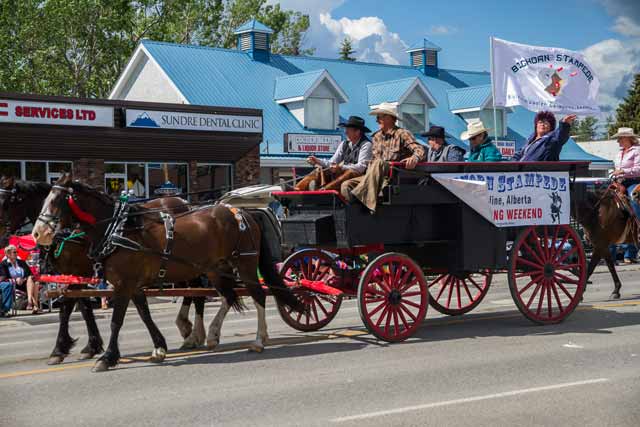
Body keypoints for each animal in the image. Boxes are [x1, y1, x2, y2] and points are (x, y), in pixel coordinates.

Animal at [0, 176, 205, 362]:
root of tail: (185, 203)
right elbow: (84, 308)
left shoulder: (78, 271)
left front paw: (61, 349)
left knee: (196, 291)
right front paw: (91, 346)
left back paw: (193, 333)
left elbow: (67, 308)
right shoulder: (78, 276)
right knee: (192, 290)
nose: (2, 238)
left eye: (7, 203)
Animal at [33, 173, 304, 372]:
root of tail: (244, 212)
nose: (37, 233)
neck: (117, 229)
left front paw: (106, 357)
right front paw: (159, 348)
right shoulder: (132, 284)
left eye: (57, 202)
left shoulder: (123, 283)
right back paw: (212, 336)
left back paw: (258, 340)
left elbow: (115, 320)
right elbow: (144, 314)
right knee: (228, 296)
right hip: (216, 269)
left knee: (258, 296)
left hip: (245, 264)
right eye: (44, 200)